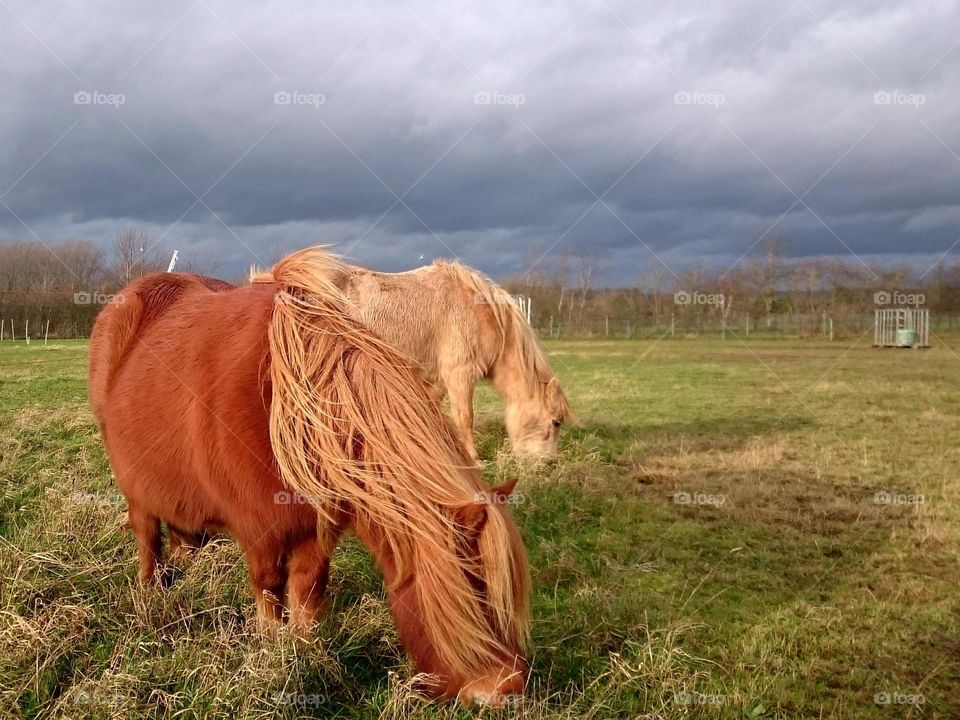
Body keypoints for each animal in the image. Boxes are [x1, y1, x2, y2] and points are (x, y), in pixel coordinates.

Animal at [89, 246, 532, 704]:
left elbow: (307, 590)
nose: (509, 690)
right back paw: (150, 595)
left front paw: (304, 651)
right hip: (134, 490)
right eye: (476, 595)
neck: (286, 406)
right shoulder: (259, 530)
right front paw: (271, 648)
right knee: (146, 536)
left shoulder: (315, 528)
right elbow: (269, 588)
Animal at [251, 258, 572, 462]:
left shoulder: (437, 378)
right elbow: (464, 417)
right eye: (555, 422)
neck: (478, 311)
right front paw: (473, 460)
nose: (547, 464)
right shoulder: (459, 374)